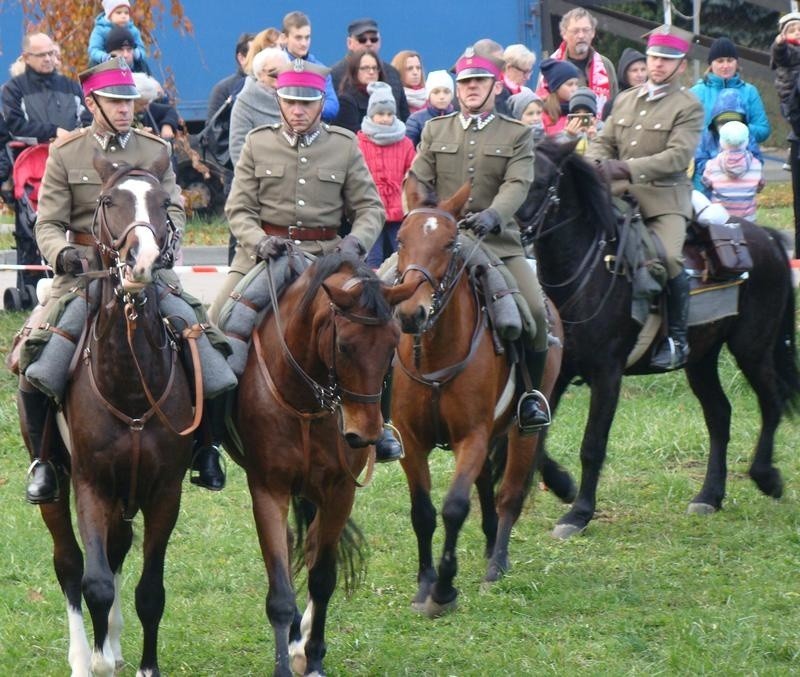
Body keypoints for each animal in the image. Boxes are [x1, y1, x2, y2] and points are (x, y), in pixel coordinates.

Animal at [225, 250, 412, 676]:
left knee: (309, 547)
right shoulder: (269, 490)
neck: (306, 399)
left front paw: (313, 658)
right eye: (344, 346)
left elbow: (322, 578)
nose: (364, 435)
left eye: (393, 344)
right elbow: (280, 591)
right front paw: (286, 660)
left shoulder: (339, 491)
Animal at [388, 178, 564, 616]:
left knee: (508, 494)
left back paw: (496, 562)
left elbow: (454, 507)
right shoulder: (411, 441)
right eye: (400, 239)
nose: (411, 314)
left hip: (522, 430)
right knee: (486, 484)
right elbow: (423, 512)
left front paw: (444, 589)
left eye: (451, 243)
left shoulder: (472, 436)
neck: (435, 351)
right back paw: (487, 542)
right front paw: (425, 583)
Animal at [520, 137, 800, 540]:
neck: (586, 275)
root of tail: (768, 237)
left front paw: (579, 513)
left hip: (752, 348)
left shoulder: (607, 375)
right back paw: (709, 496)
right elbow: (536, 437)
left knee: (771, 403)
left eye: (540, 183)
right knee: (719, 415)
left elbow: (592, 444)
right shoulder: (557, 373)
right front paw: (563, 485)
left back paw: (767, 478)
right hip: (701, 359)